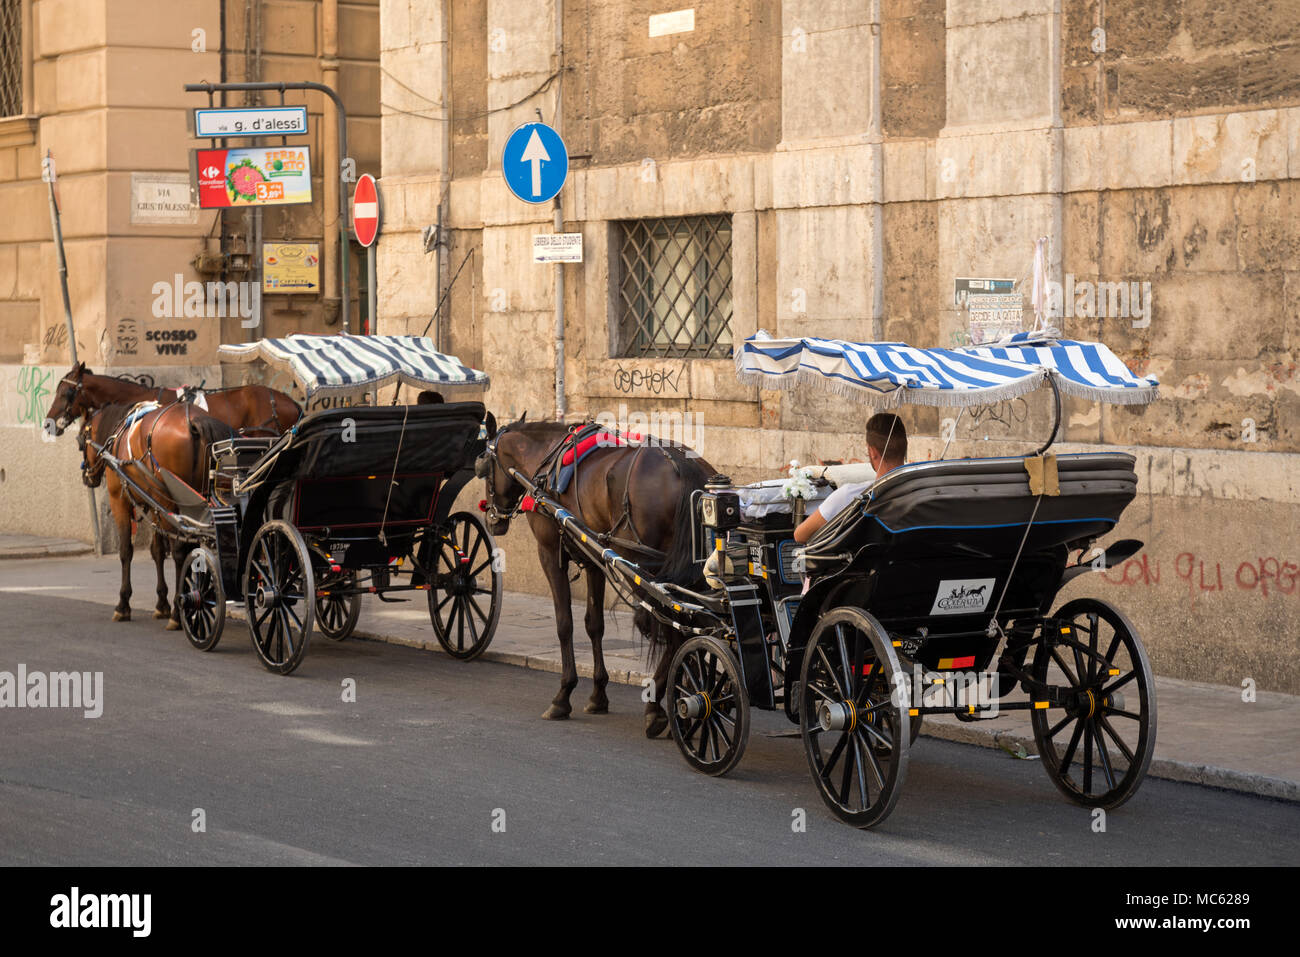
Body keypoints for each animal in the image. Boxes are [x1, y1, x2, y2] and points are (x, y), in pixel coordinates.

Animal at [79, 400, 248, 624]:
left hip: (170, 502)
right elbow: (157, 551)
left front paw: (123, 604)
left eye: (81, 440)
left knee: (180, 553)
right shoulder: (155, 507)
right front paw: (162, 603)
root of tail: (194, 420)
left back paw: (180, 610)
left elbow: (126, 551)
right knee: (191, 549)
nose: (86, 477)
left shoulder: (119, 501)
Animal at [483, 416, 717, 738]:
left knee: (675, 632)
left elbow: (565, 623)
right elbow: (594, 625)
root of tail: (684, 466)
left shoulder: (549, 553)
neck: (543, 461)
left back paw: (658, 707)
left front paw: (563, 695)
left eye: (483, 468)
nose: (492, 519)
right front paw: (598, 694)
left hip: (646, 569)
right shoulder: (594, 558)